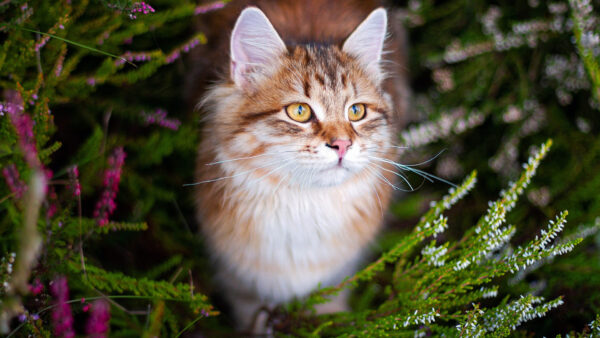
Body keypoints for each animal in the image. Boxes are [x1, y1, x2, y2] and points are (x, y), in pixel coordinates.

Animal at [192, 0, 408, 332]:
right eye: (299, 111)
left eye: (356, 111)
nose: (342, 144)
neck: (304, 205)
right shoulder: (242, 286)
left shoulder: (337, 277)